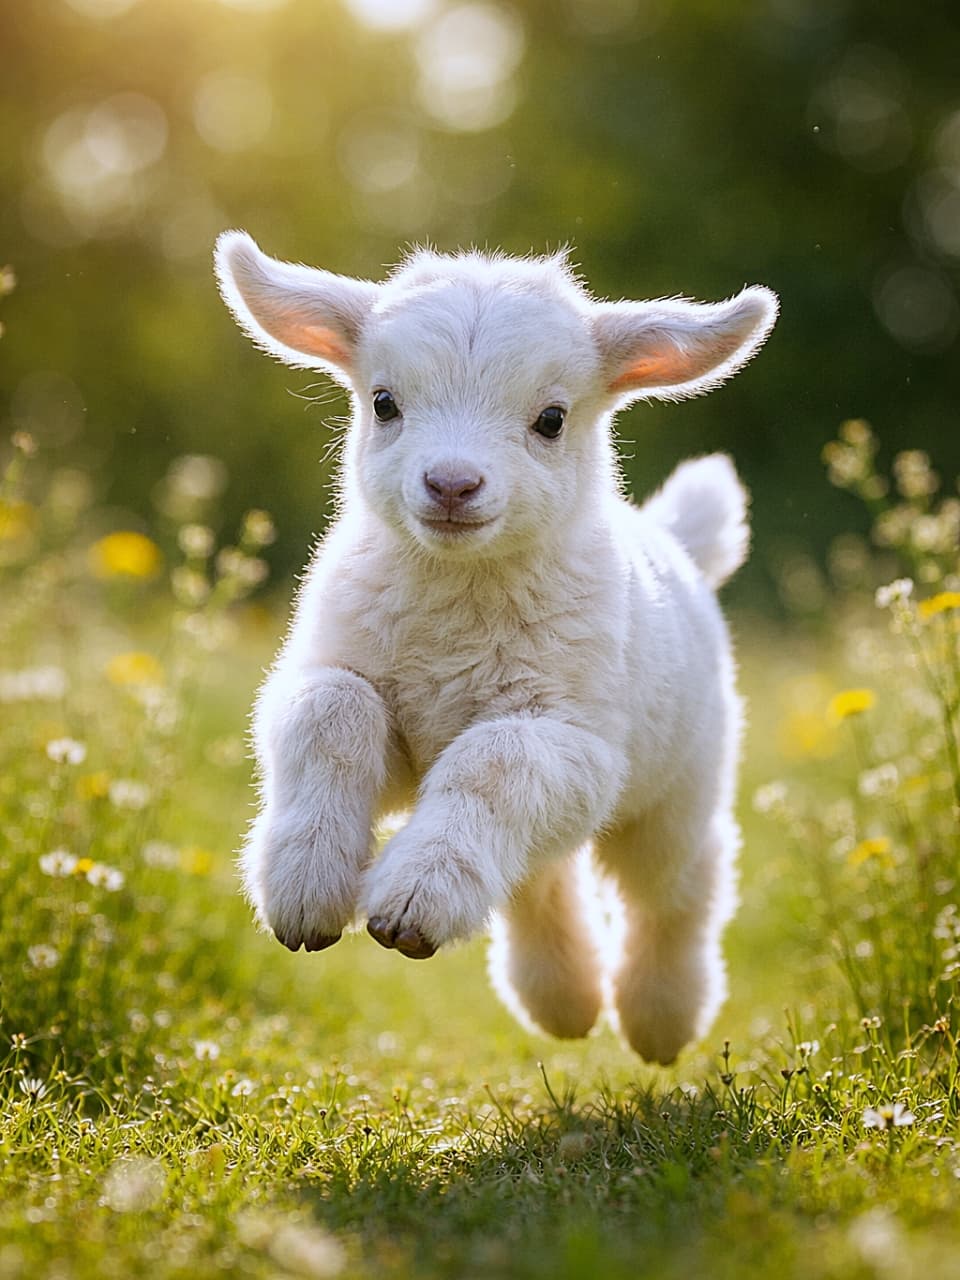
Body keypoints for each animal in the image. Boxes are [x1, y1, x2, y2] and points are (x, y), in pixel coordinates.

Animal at [215, 233, 777, 1062]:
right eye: (384, 403)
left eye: (551, 418)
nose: (452, 484)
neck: (459, 597)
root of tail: (676, 541)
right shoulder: (337, 677)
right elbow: (331, 712)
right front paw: (307, 887)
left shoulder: (575, 737)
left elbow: (492, 762)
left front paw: (408, 903)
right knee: (539, 878)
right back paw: (564, 1005)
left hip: (677, 788)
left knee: (679, 891)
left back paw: (657, 1020)